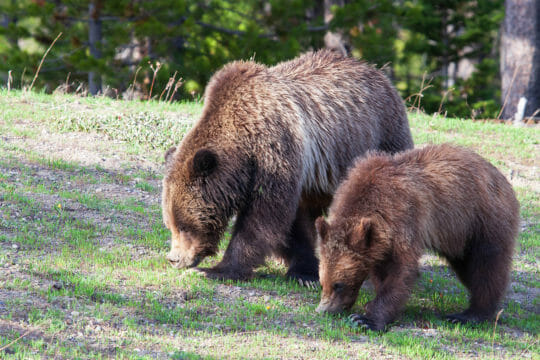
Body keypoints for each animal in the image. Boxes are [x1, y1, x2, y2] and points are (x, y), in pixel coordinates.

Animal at [162, 49, 412, 282]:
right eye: (170, 224)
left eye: (184, 226)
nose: (174, 259)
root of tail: (377, 72)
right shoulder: (296, 174)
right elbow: (293, 224)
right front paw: (304, 270)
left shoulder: (276, 151)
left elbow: (264, 217)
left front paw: (218, 269)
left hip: (383, 137)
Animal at [316, 145, 520, 330]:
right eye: (322, 282)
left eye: (338, 284)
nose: (324, 310)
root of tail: (502, 179)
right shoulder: (378, 243)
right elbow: (382, 272)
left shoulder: (404, 219)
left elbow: (401, 271)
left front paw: (366, 319)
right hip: (459, 238)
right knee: (467, 267)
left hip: (482, 220)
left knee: (486, 266)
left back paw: (470, 314)